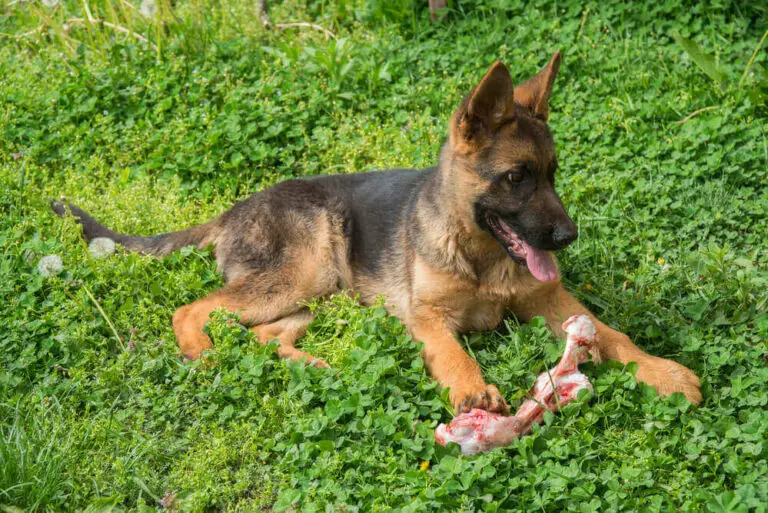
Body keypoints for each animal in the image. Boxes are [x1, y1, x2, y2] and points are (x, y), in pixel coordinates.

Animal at [52, 54, 704, 410]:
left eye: (553, 174)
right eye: (516, 177)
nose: (567, 239)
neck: (481, 254)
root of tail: (230, 213)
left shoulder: (552, 300)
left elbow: (613, 335)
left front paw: (663, 371)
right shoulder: (427, 317)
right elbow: (453, 352)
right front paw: (474, 393)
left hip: (313, 293)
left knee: (265, 335)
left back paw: (316, 366)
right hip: (304, 270)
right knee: (193, 310)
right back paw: (204, 356)